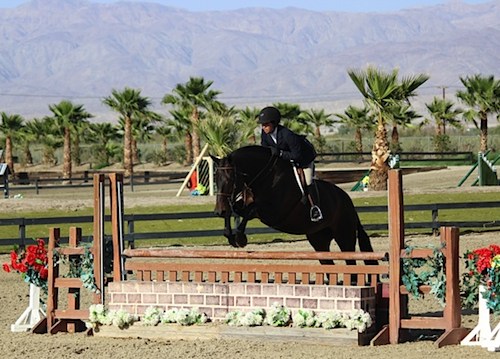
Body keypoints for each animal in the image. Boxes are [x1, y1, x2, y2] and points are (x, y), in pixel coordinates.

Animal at [212, 146, 378, 268]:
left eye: (230, 179)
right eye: (216, 179)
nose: (219, 210)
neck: (265, 176)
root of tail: (347, 200)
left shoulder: (274, 212)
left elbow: (251, 210)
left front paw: (240, 238)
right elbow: (235, 210)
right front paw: (230, 234)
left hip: (344, 236)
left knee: (351, 262)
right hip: (319, 240)